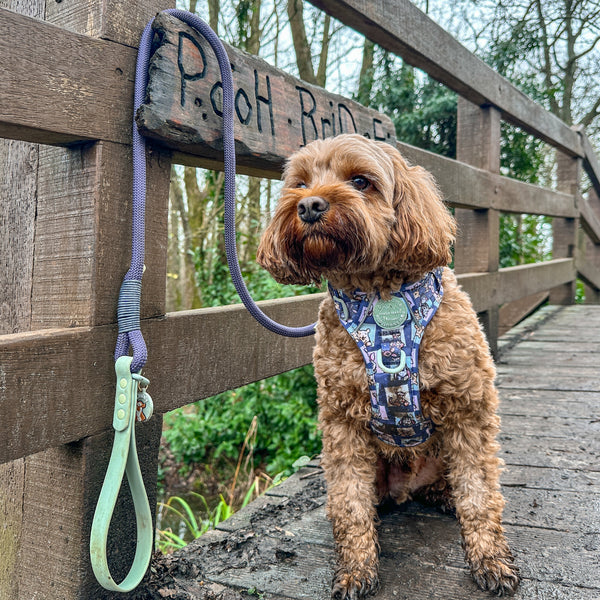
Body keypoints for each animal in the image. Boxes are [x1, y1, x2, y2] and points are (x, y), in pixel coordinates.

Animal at [256, 134, 520, 596]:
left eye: (361, 181)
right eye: (300, 184)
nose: (308, 206)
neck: (378, 297)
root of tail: (406, 486)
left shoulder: (469, 408)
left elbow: (480, 492)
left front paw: (489, 559)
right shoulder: (342, 422)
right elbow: (349, 503)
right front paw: (356, 568)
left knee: (451, 483)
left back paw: (445, 496)